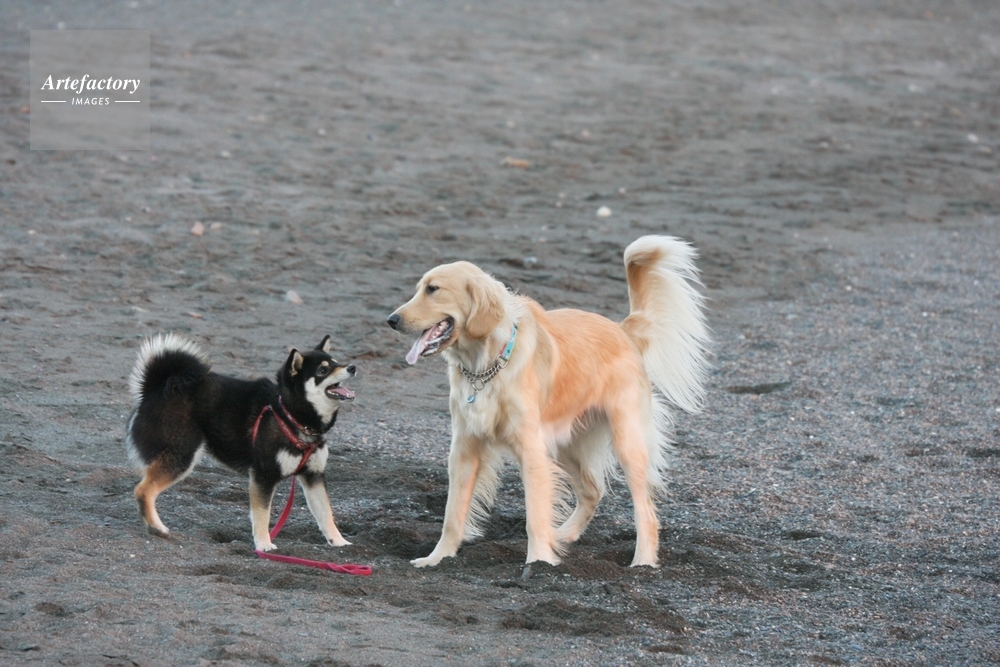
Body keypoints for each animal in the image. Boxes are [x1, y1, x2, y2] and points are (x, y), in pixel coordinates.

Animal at [125, 333, 356, 552]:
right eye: (322, 371)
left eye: (336, 362)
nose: (352, 367)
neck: (290, 415)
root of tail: (156, 387)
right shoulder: (263, 475)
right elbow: (262, 514)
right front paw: (263, 544)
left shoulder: (313, 475)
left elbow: (325, 513)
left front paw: (339, 541)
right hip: (182, 455)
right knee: (143, 490)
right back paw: (156, 527)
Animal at [387, 236, 709, 567]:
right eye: (419, 288)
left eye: (433, 289)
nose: (391, 320)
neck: (485, 366)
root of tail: (622, 330)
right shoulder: (465, 446)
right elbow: (452, 513)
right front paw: (437, 558)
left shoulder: (531, 449)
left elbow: (535, 516)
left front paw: (538, 563)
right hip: (564, 445)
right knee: (593, 492)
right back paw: (564, 535)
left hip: (627, 442)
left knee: (644, 511)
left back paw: (642, 562)